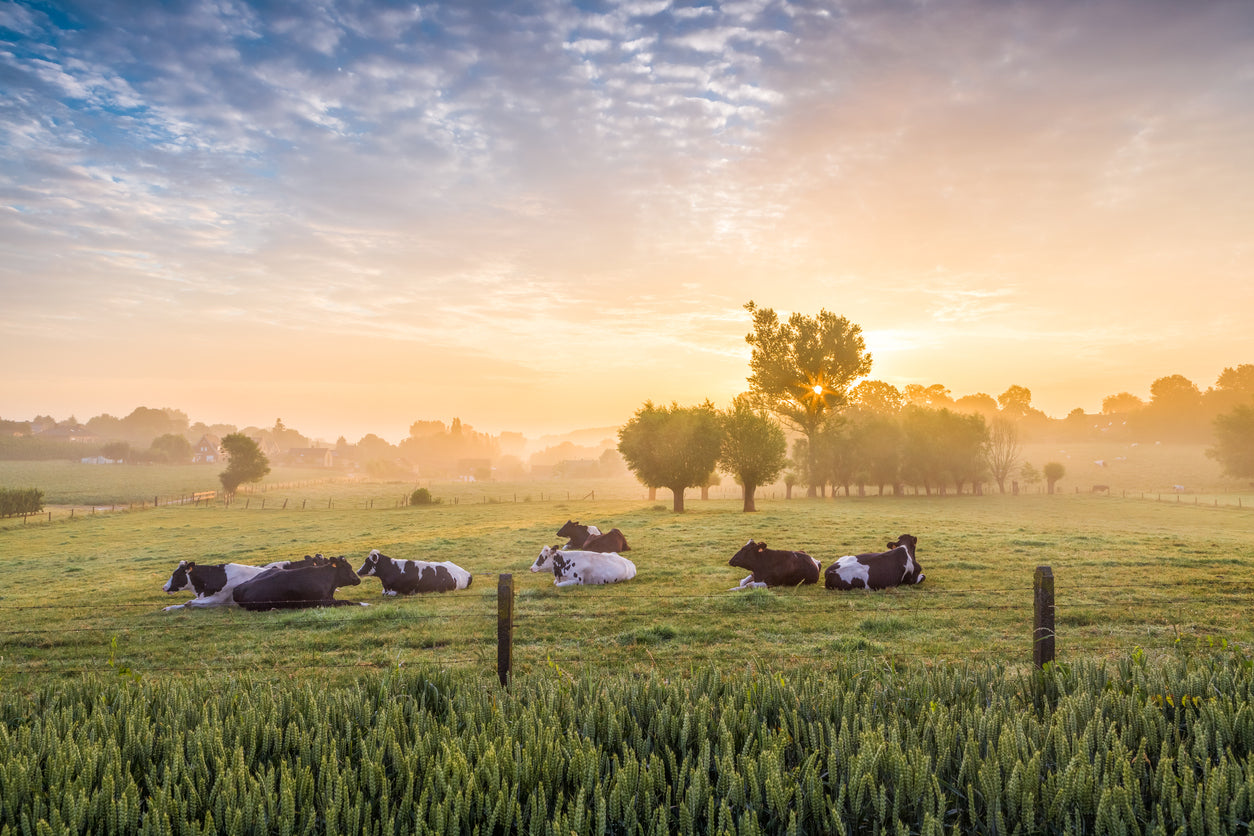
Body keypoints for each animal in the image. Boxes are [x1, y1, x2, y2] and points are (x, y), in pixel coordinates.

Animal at [161, 551, 328, 611]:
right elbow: (183, 604)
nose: (164, 587)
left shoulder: (218, 599)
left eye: (176, 575)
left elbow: (189, 603)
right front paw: (168, 608)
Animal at [231, 551, 366, 611]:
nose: (357, 579)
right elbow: (345, 601)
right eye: (347, 567)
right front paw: (364, 604)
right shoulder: (321, 602)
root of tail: (238, 588)